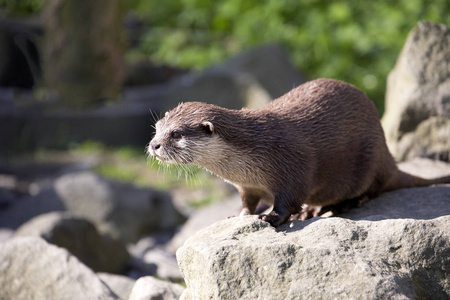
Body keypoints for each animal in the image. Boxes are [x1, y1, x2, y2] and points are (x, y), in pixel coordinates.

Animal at [148, 78, 450, 226]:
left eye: (176, 134)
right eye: (157, 127)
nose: (153, 145)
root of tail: (388, 156)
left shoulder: (292, 163)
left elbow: (289, 199)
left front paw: (272, 217)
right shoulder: (246, 185)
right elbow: (248, 201)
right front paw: (241, 215)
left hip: (368, 158)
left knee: (369, 188)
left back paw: (341, 205)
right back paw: (313, 209)